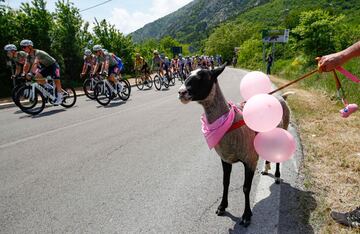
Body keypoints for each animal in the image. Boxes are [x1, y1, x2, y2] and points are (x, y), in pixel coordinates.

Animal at [179, 64, 292, 227]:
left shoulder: (250, 159)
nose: (181, 92)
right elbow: (225, 182)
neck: (230, 122)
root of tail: (281, 97)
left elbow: (246, 188)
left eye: (204, 76)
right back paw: (266, 169)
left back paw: (277, 176)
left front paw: (246, 216)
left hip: (284, 129)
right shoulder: (225, 158)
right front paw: (222, 207)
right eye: (187, 74)